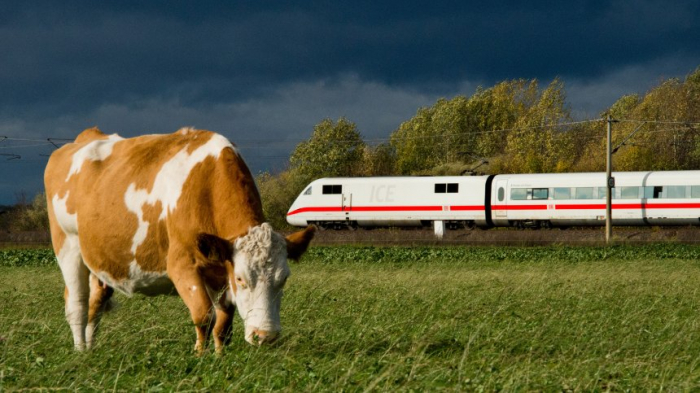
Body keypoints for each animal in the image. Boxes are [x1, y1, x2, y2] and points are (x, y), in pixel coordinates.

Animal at [44, 128, 314, 352]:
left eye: (284, 278)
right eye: (241, 279)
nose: (265, 336)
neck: (206, 187)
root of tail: (85, 137)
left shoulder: (219, 269)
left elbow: (223, 324)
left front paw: (220, 357)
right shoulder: (183, 265)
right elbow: (204, 316)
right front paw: (200, 356)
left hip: (100, 260)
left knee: (95, 303)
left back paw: (90, 349)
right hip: (67, 246)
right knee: (77, 304)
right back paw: (80, 352)